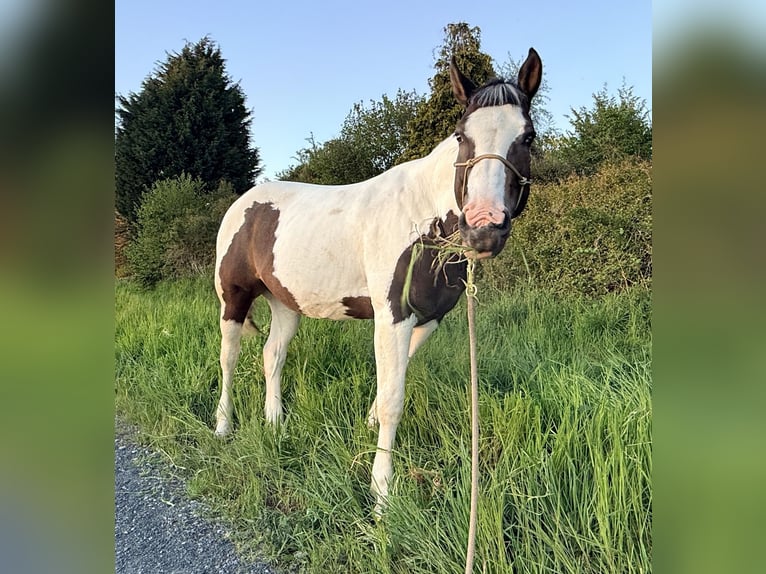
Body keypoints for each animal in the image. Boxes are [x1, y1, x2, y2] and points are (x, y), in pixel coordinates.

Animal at [213, 48, 542, 514]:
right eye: (462, 136)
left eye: (527, 137)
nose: (484, 228)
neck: (424, 218)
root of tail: (245, 202)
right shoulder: (392, 316)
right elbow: (393, 400)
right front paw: (382, 493)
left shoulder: (428, 317)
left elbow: (391, 382)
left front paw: (368, 427)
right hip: (234, 296)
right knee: (229, 357)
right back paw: (223, 425)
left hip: (286, 303)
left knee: (272, 355)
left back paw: (275, 423)